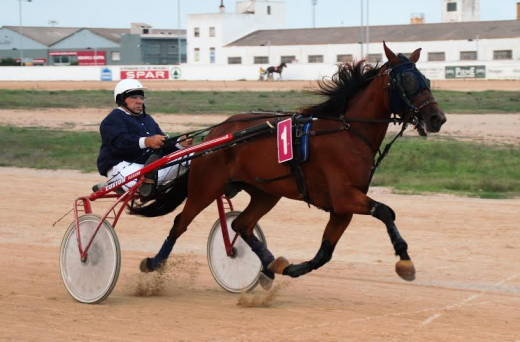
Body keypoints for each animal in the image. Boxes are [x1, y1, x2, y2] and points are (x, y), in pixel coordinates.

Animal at [134, 42, 446, 288]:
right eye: (408, 80)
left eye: (426, 79)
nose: (437, 118)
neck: (348, 132)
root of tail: (215, 135)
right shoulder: (345, 197)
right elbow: (385, 211)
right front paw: (405, 261)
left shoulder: (341, 208)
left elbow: (325, 253)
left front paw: (289, 268)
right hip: (206, 187)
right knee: (180, 223)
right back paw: (153, 263)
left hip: (265, 192)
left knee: (242, 225)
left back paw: (269, 265)